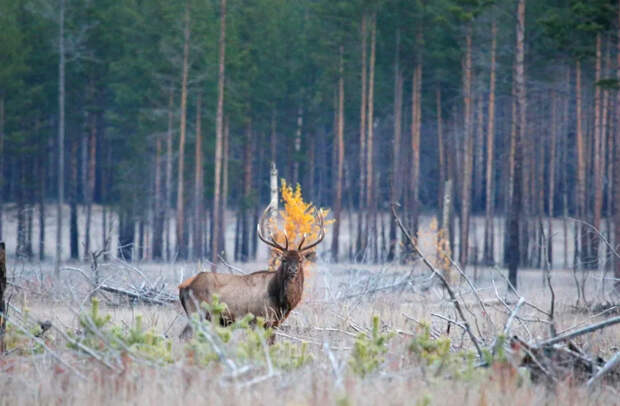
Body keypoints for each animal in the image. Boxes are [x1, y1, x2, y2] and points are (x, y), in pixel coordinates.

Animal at [178, 205, 326, 338]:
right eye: (284, 259)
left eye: (300, 260)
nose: (292, 270)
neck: (281, 301)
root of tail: (183, 286)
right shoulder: (259, 319)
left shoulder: (275, 323)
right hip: (197, 311)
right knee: (185, 335)